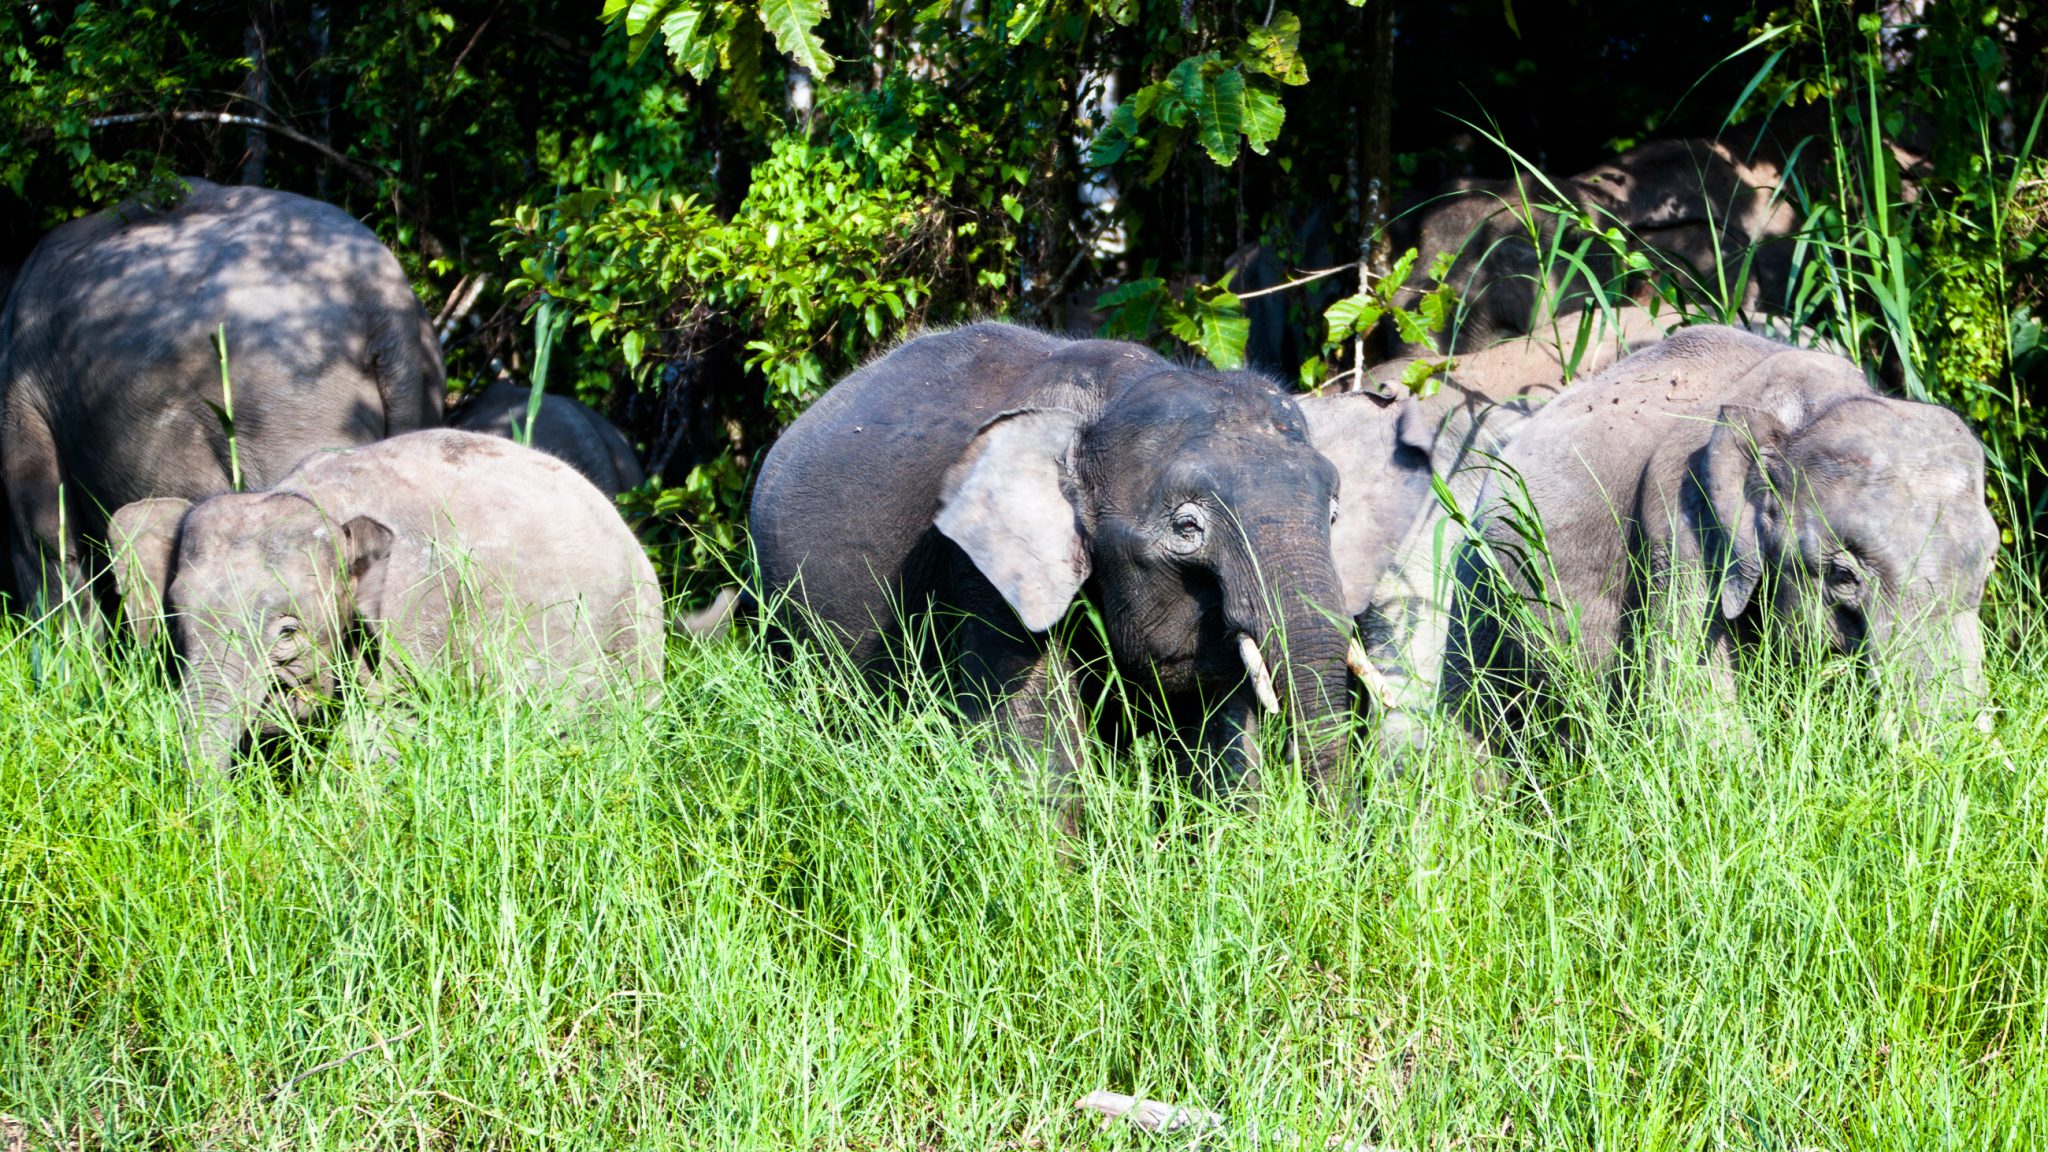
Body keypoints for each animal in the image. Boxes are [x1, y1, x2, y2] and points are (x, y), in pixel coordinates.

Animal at [105, 428, 663, 770]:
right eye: (178, 624)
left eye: (288, 632)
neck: (316, 500)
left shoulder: (421, 608)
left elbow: (386, 729)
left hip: (629, 633)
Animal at [745, 317, 1351, 795]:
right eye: (1186, 528)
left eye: (1334, 517)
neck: (1111, 401)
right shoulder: (980, 568)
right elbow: (1034, 736)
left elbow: (1218, 734)